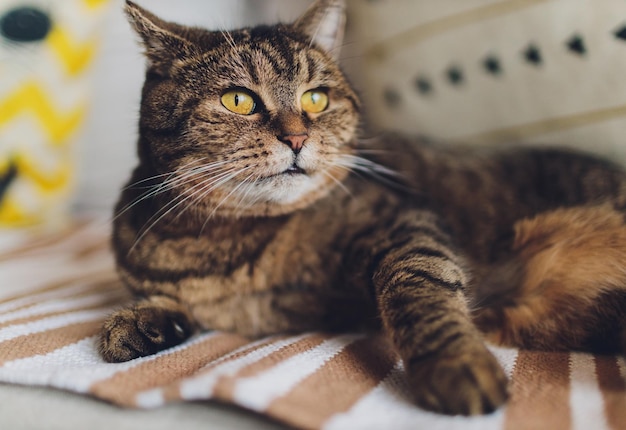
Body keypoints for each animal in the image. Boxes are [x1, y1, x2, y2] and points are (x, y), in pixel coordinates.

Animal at [98, 0, 626, 416]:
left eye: (316, 98)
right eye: (238, 100)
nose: (297, 138)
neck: (234, 246)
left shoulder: (406, 223)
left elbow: (419, 286)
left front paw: (455, 364)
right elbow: (168, 302)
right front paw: (138, 321)